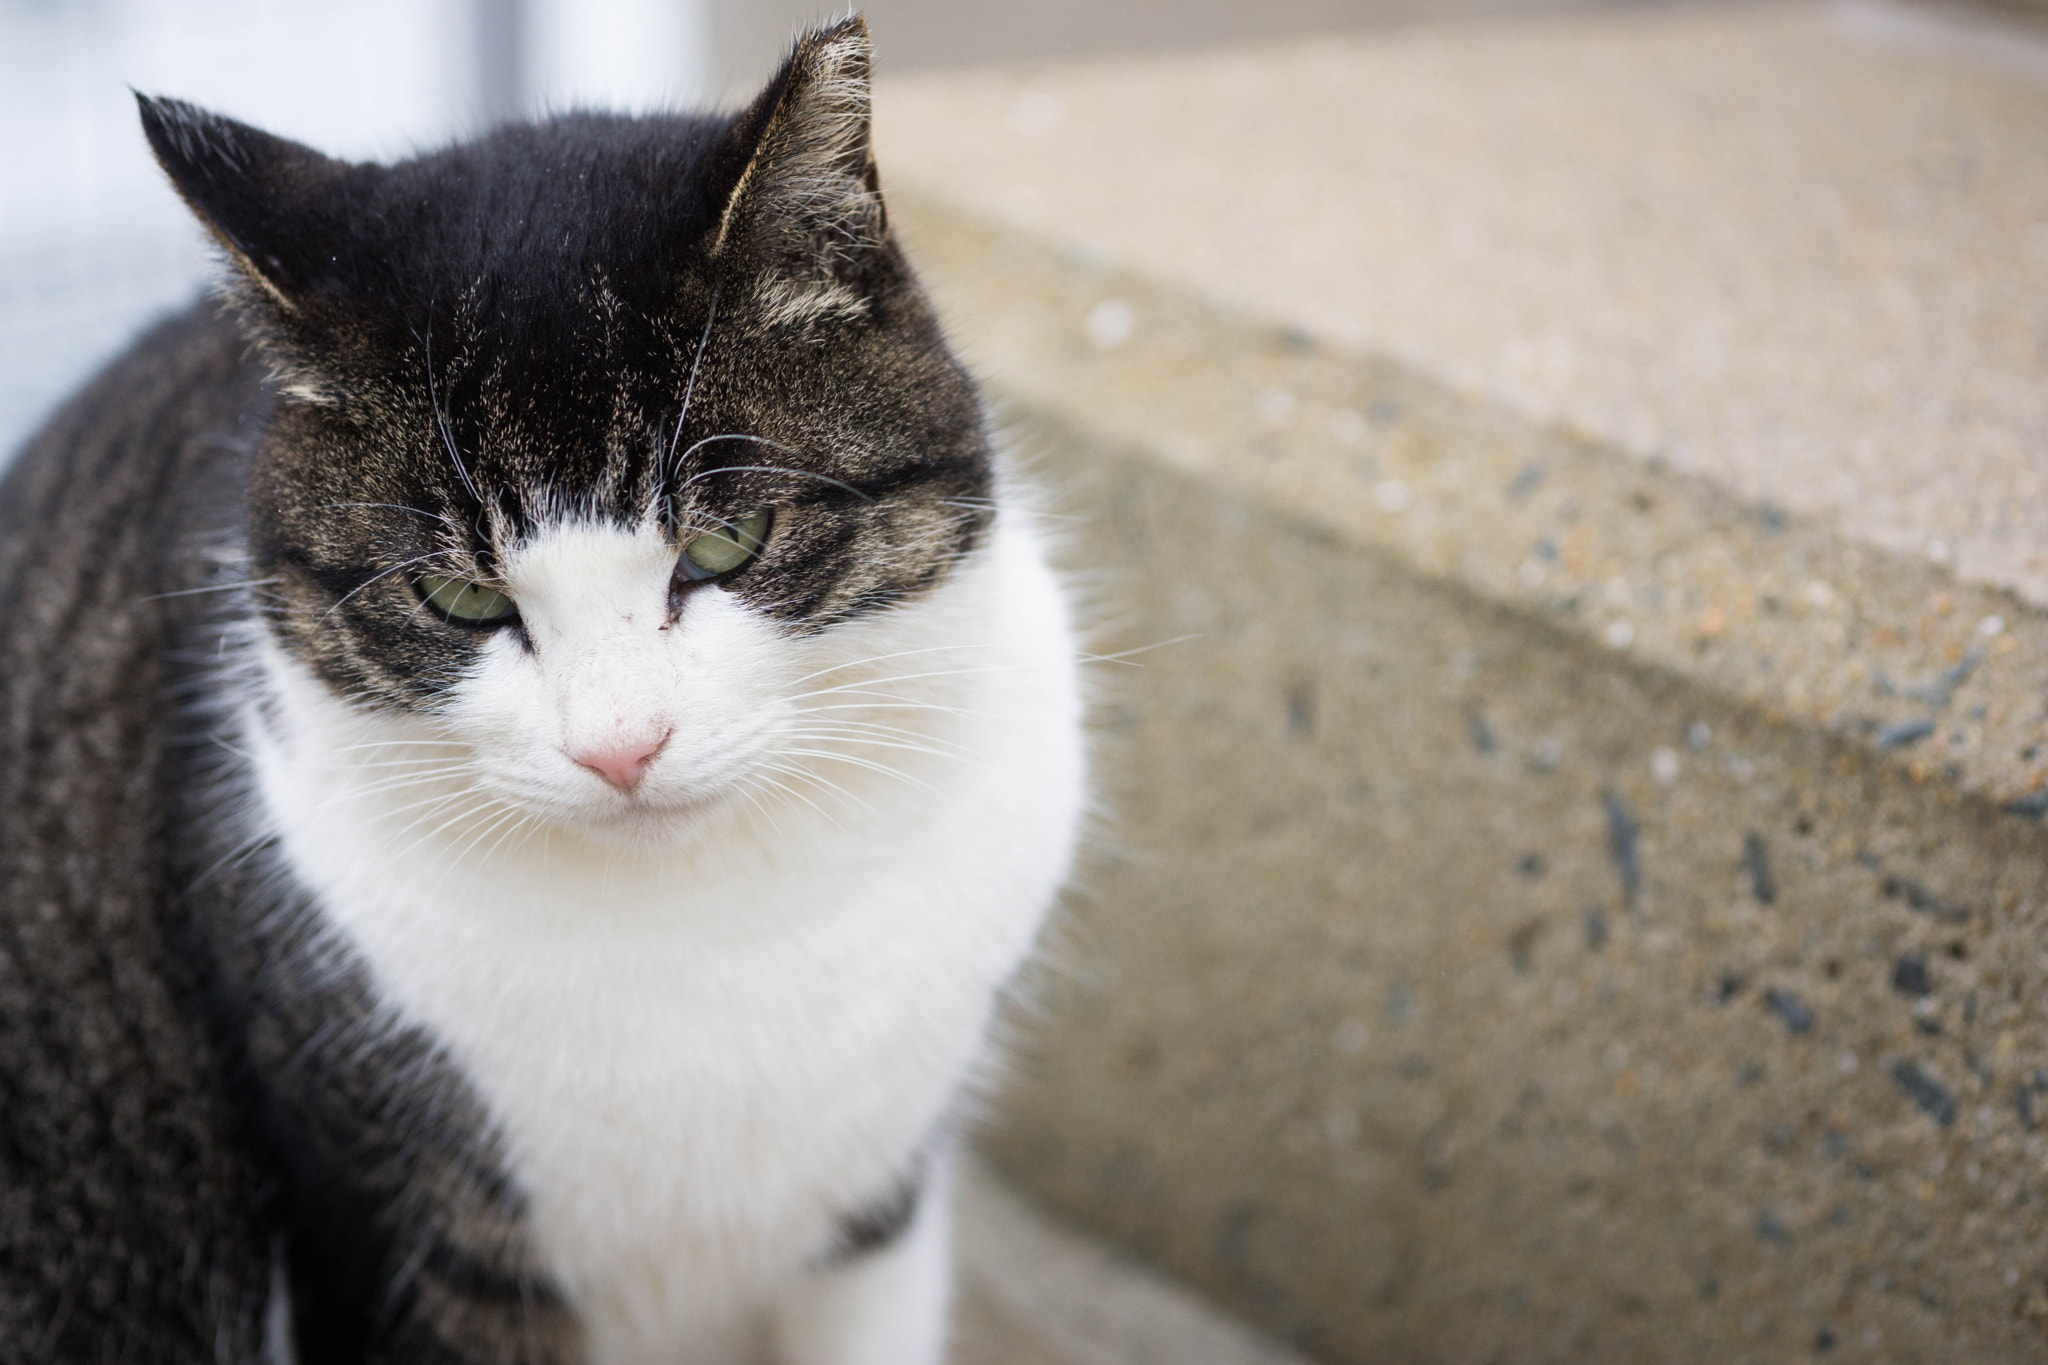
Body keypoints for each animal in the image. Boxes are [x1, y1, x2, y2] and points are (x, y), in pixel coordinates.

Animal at [0, 21, 1089, 1365]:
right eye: (459, 600)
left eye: (726, 539)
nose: (621, 746)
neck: (715, 934)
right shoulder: (407, 1243)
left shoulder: (875, 1215)